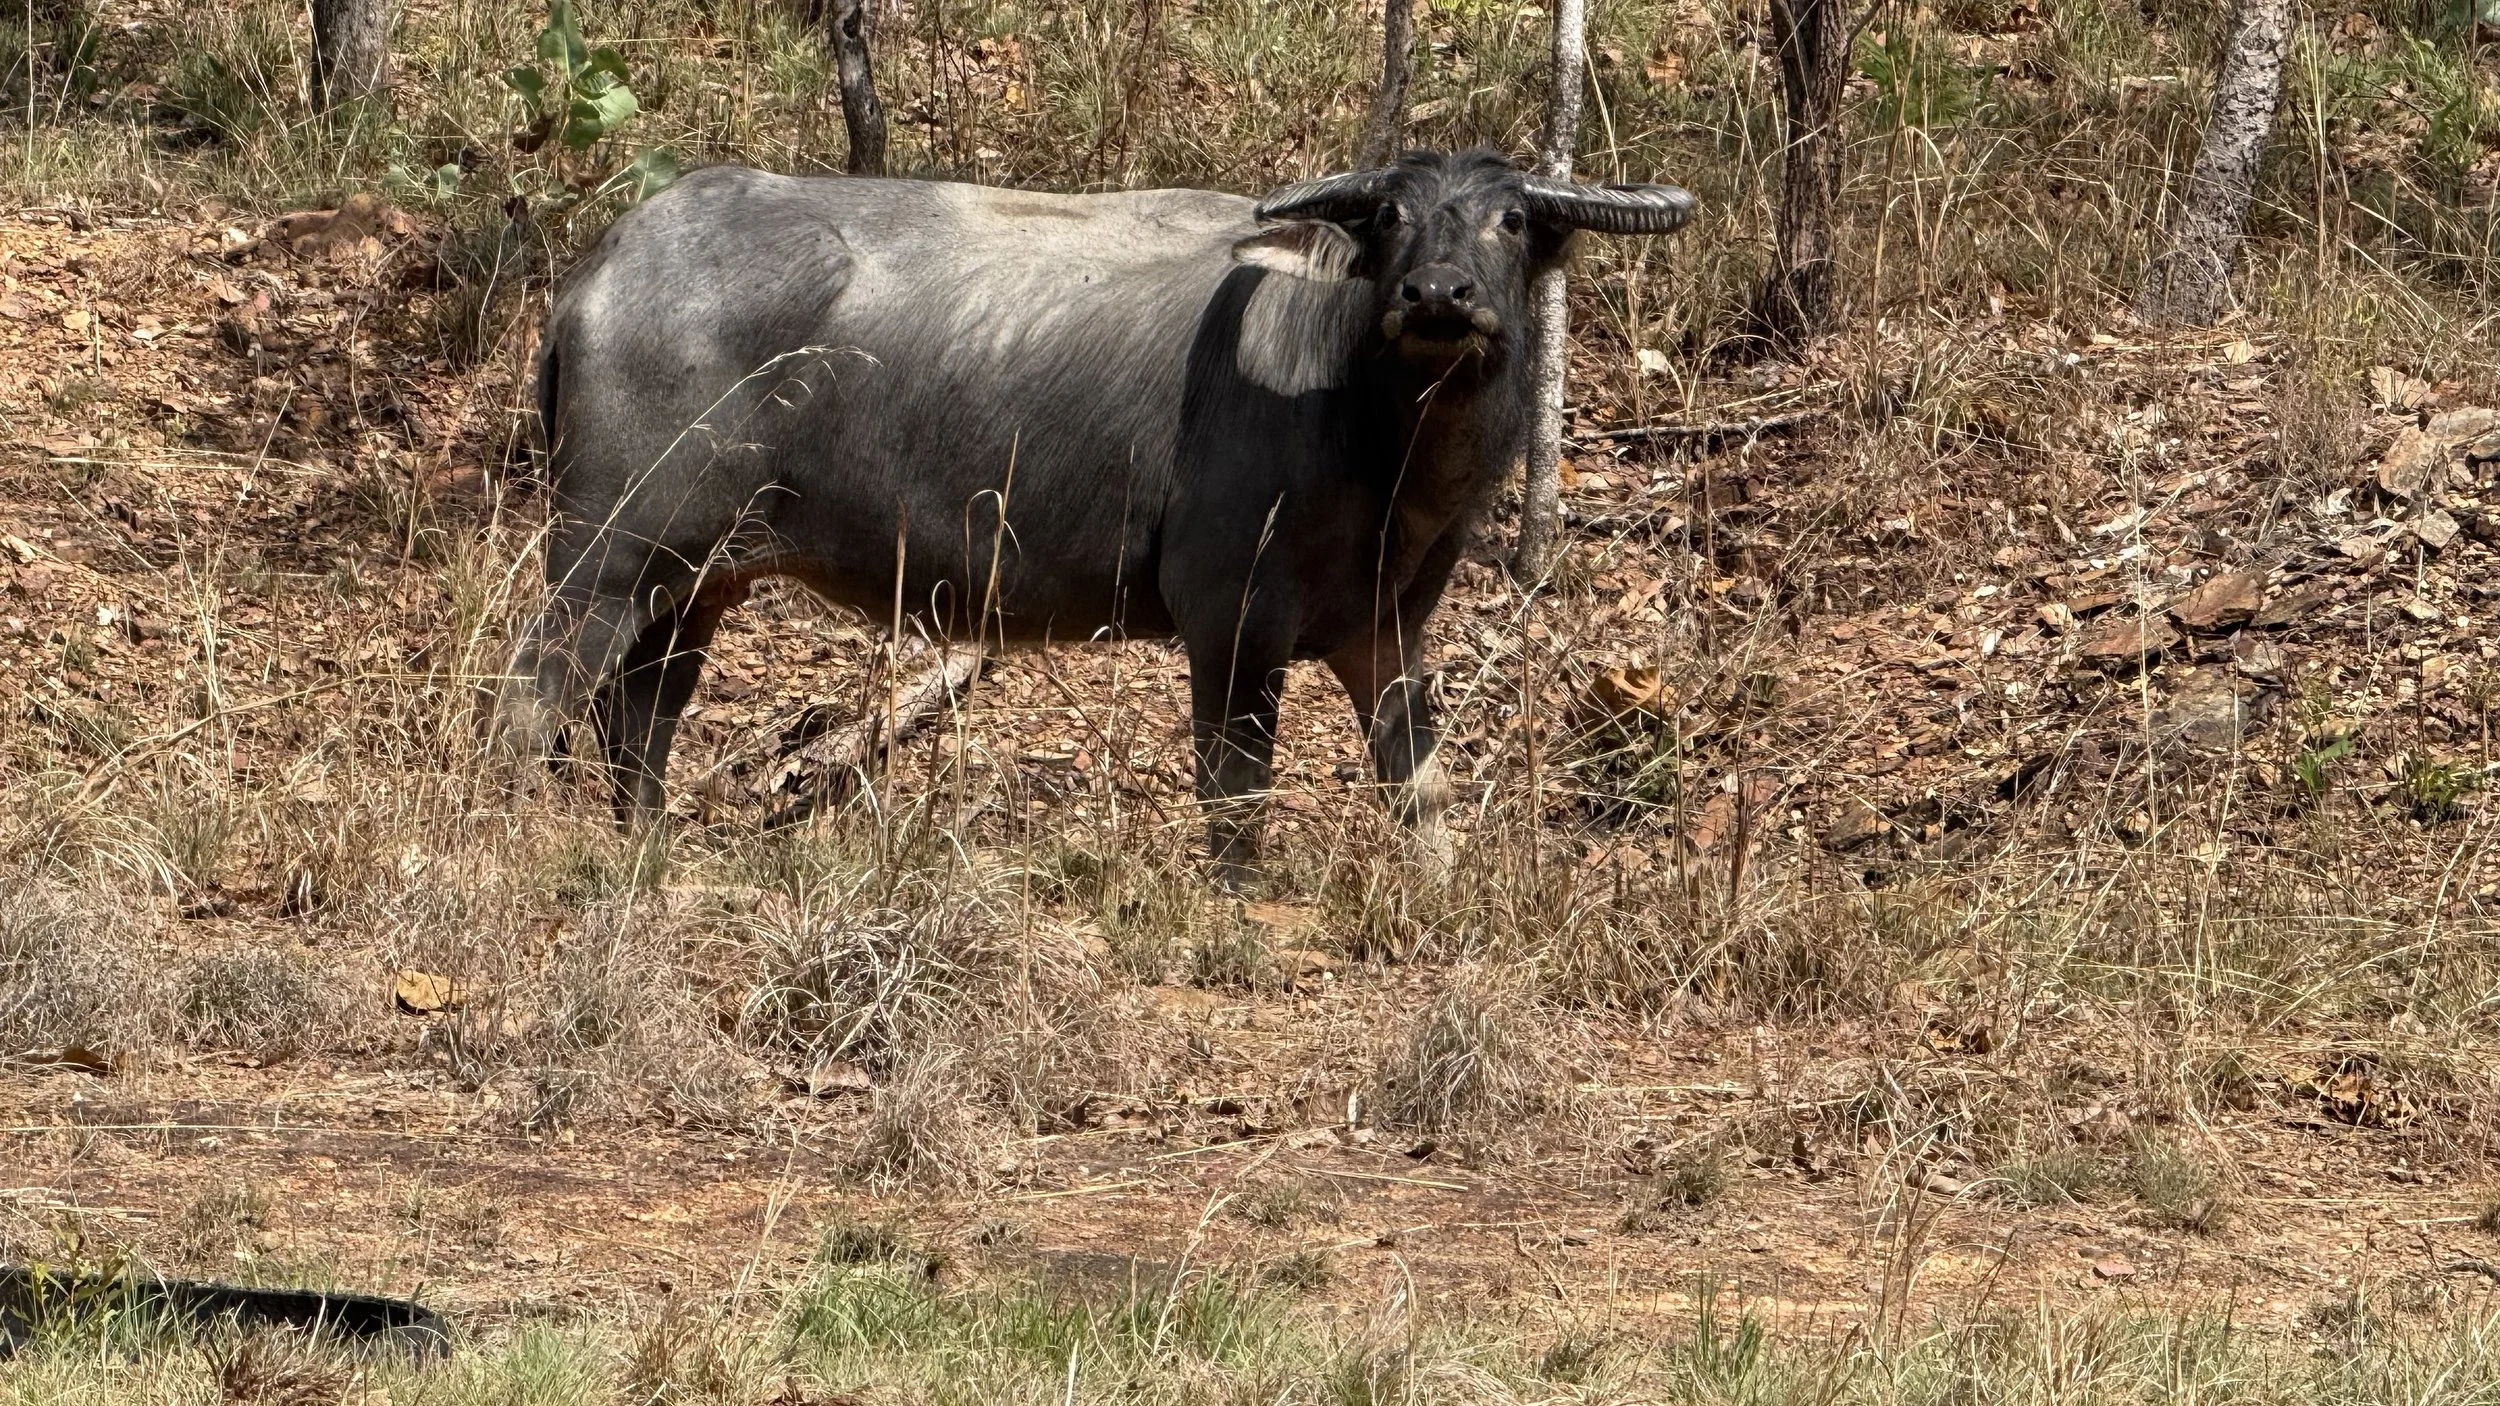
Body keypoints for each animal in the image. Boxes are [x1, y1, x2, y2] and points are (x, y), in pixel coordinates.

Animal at [507, 147, 1693, 880]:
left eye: (1510, 218)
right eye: (1393, 215)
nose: (1438, 295)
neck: (1358, 418)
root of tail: (598, 270)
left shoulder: (1387, 630)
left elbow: (1421, 791)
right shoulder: (1230, 625)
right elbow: (1235, 801)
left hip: (697, 580)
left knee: (639, 721)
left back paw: (648, 847)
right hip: (604, 555)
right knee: (532, 699)